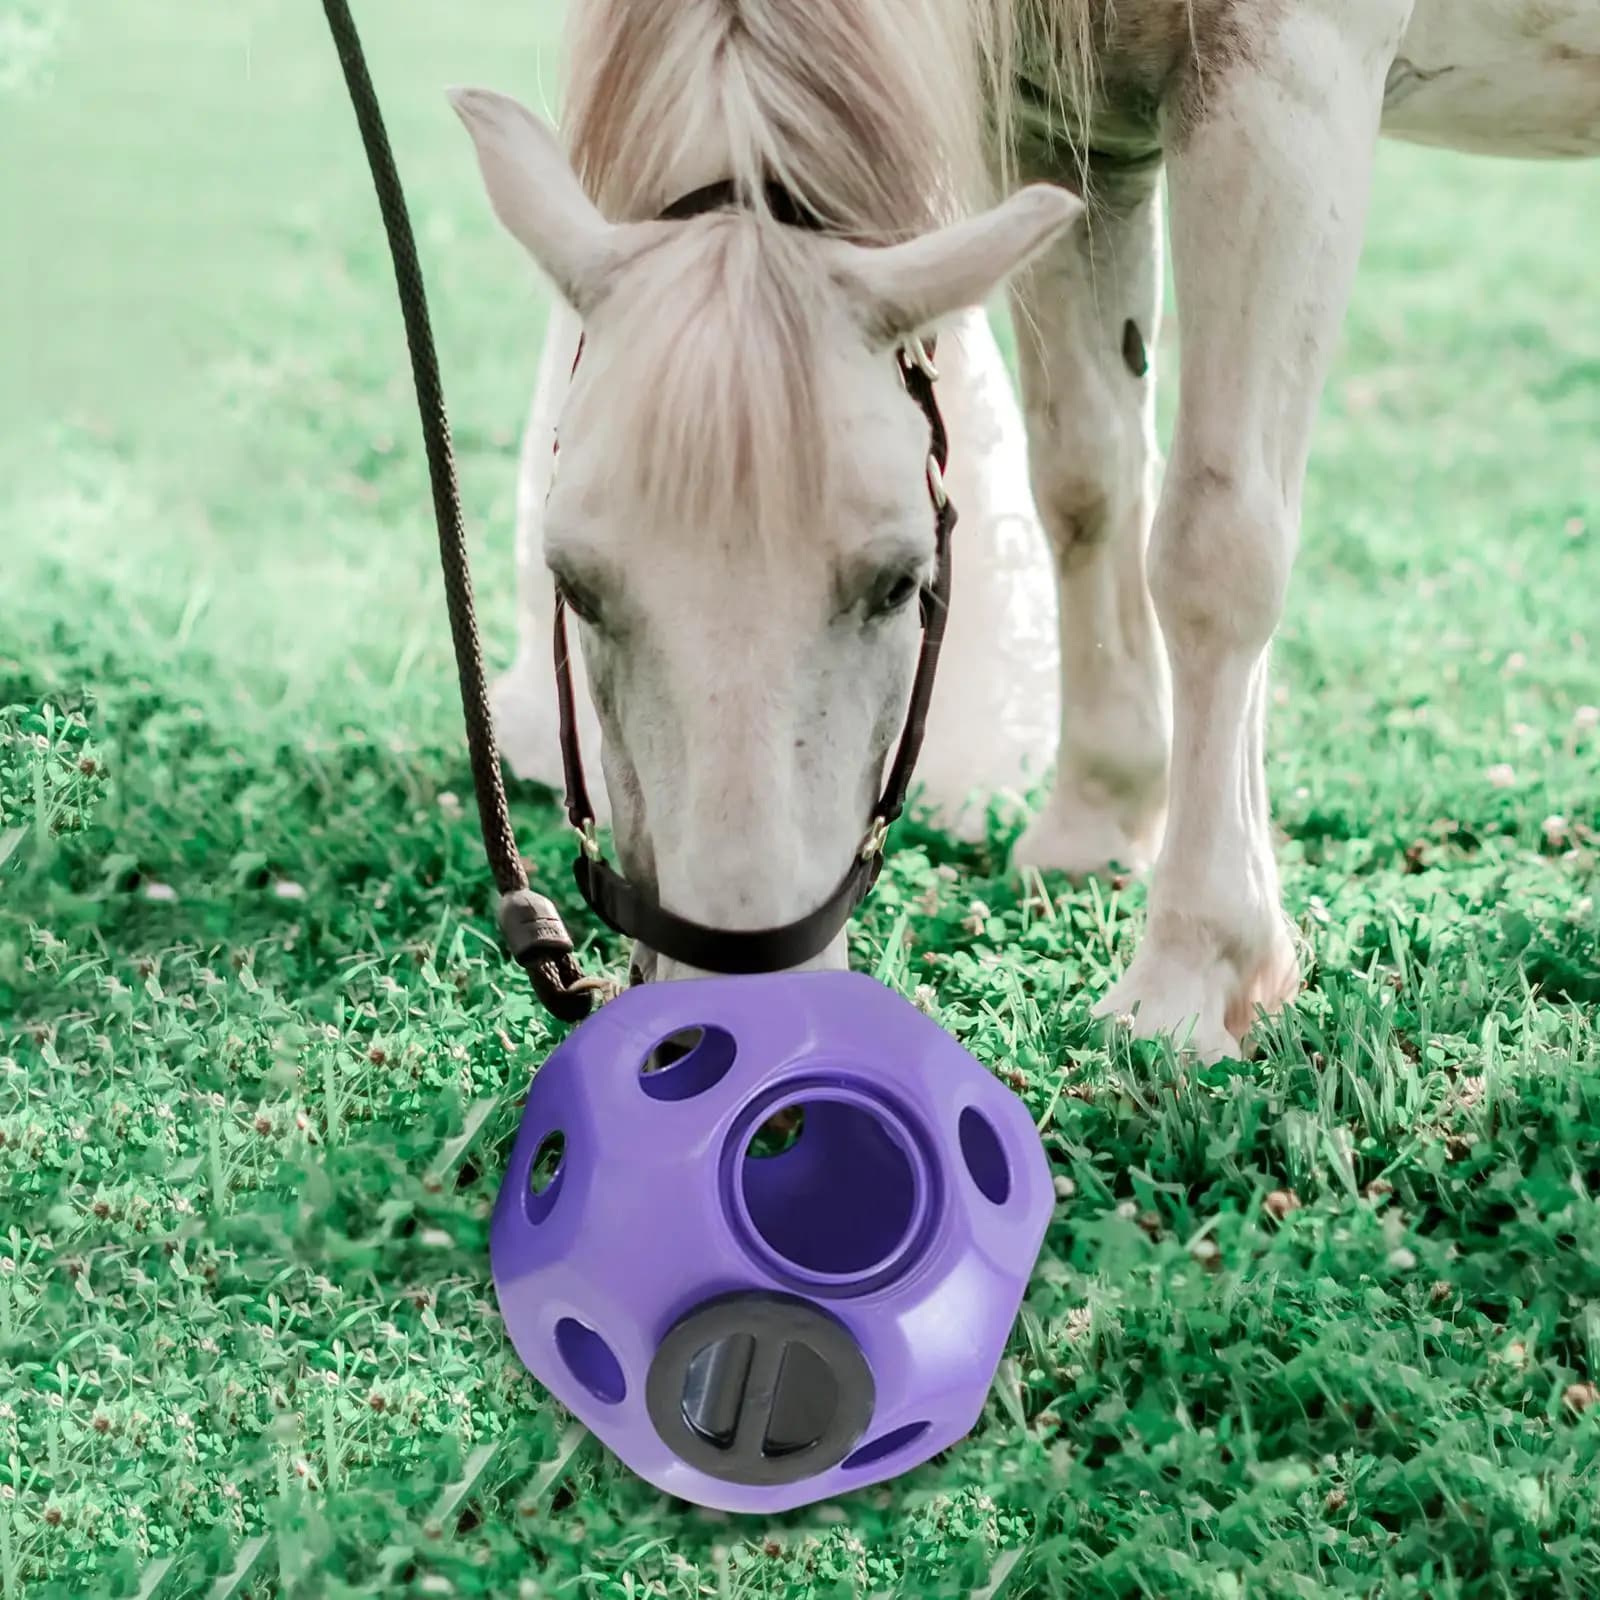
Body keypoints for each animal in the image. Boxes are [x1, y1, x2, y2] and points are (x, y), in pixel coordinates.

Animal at [453, 0, 1600, 1059]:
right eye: (572, 586)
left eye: (899, 582)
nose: (734, 1024)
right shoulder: (1071, 134)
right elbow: (1088, 483)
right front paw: (1099, 820)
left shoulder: (1288, 80)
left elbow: (1215, 538)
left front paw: (1194, 965)